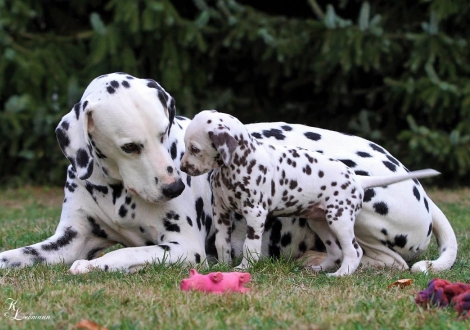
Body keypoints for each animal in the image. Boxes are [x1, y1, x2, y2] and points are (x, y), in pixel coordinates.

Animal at [180, 110, 440, 276]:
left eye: (194, 148)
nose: (183, 168)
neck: (238, 163)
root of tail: (358, 179)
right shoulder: (222, 213)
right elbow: (222, 243)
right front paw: (221, 267)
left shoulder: (255, 214)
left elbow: (249, 246)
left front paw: (244, 268)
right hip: (320, 222)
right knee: (336, 251)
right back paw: (320, 267)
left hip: (341, 221)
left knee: (355, 251)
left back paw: (341, 274)